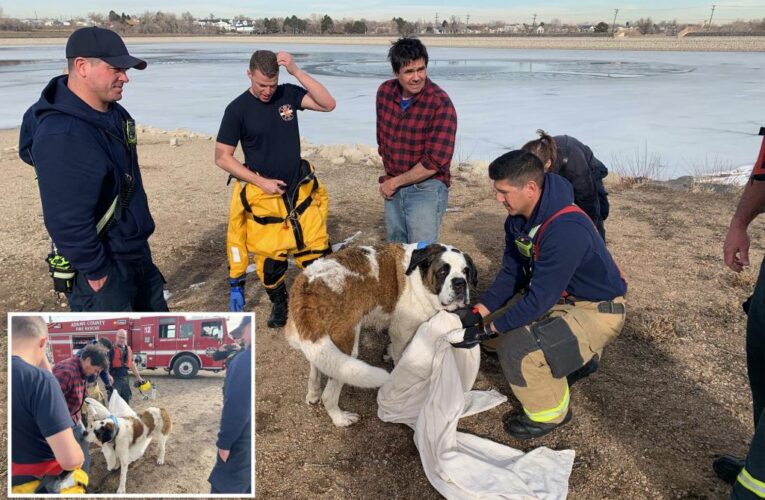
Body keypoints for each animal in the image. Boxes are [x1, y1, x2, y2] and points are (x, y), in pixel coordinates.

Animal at [286, 242, 478, 426]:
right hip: (345, 347)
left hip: (318, 341)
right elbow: (401, 357)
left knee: (315, 366)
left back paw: (313, 394)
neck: (418, 279)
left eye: (466, 272)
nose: (460, 283)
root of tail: (307, 285)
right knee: (329, 394)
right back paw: (340, 419)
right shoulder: (401, 331)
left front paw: (389, 352)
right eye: (443, 271)